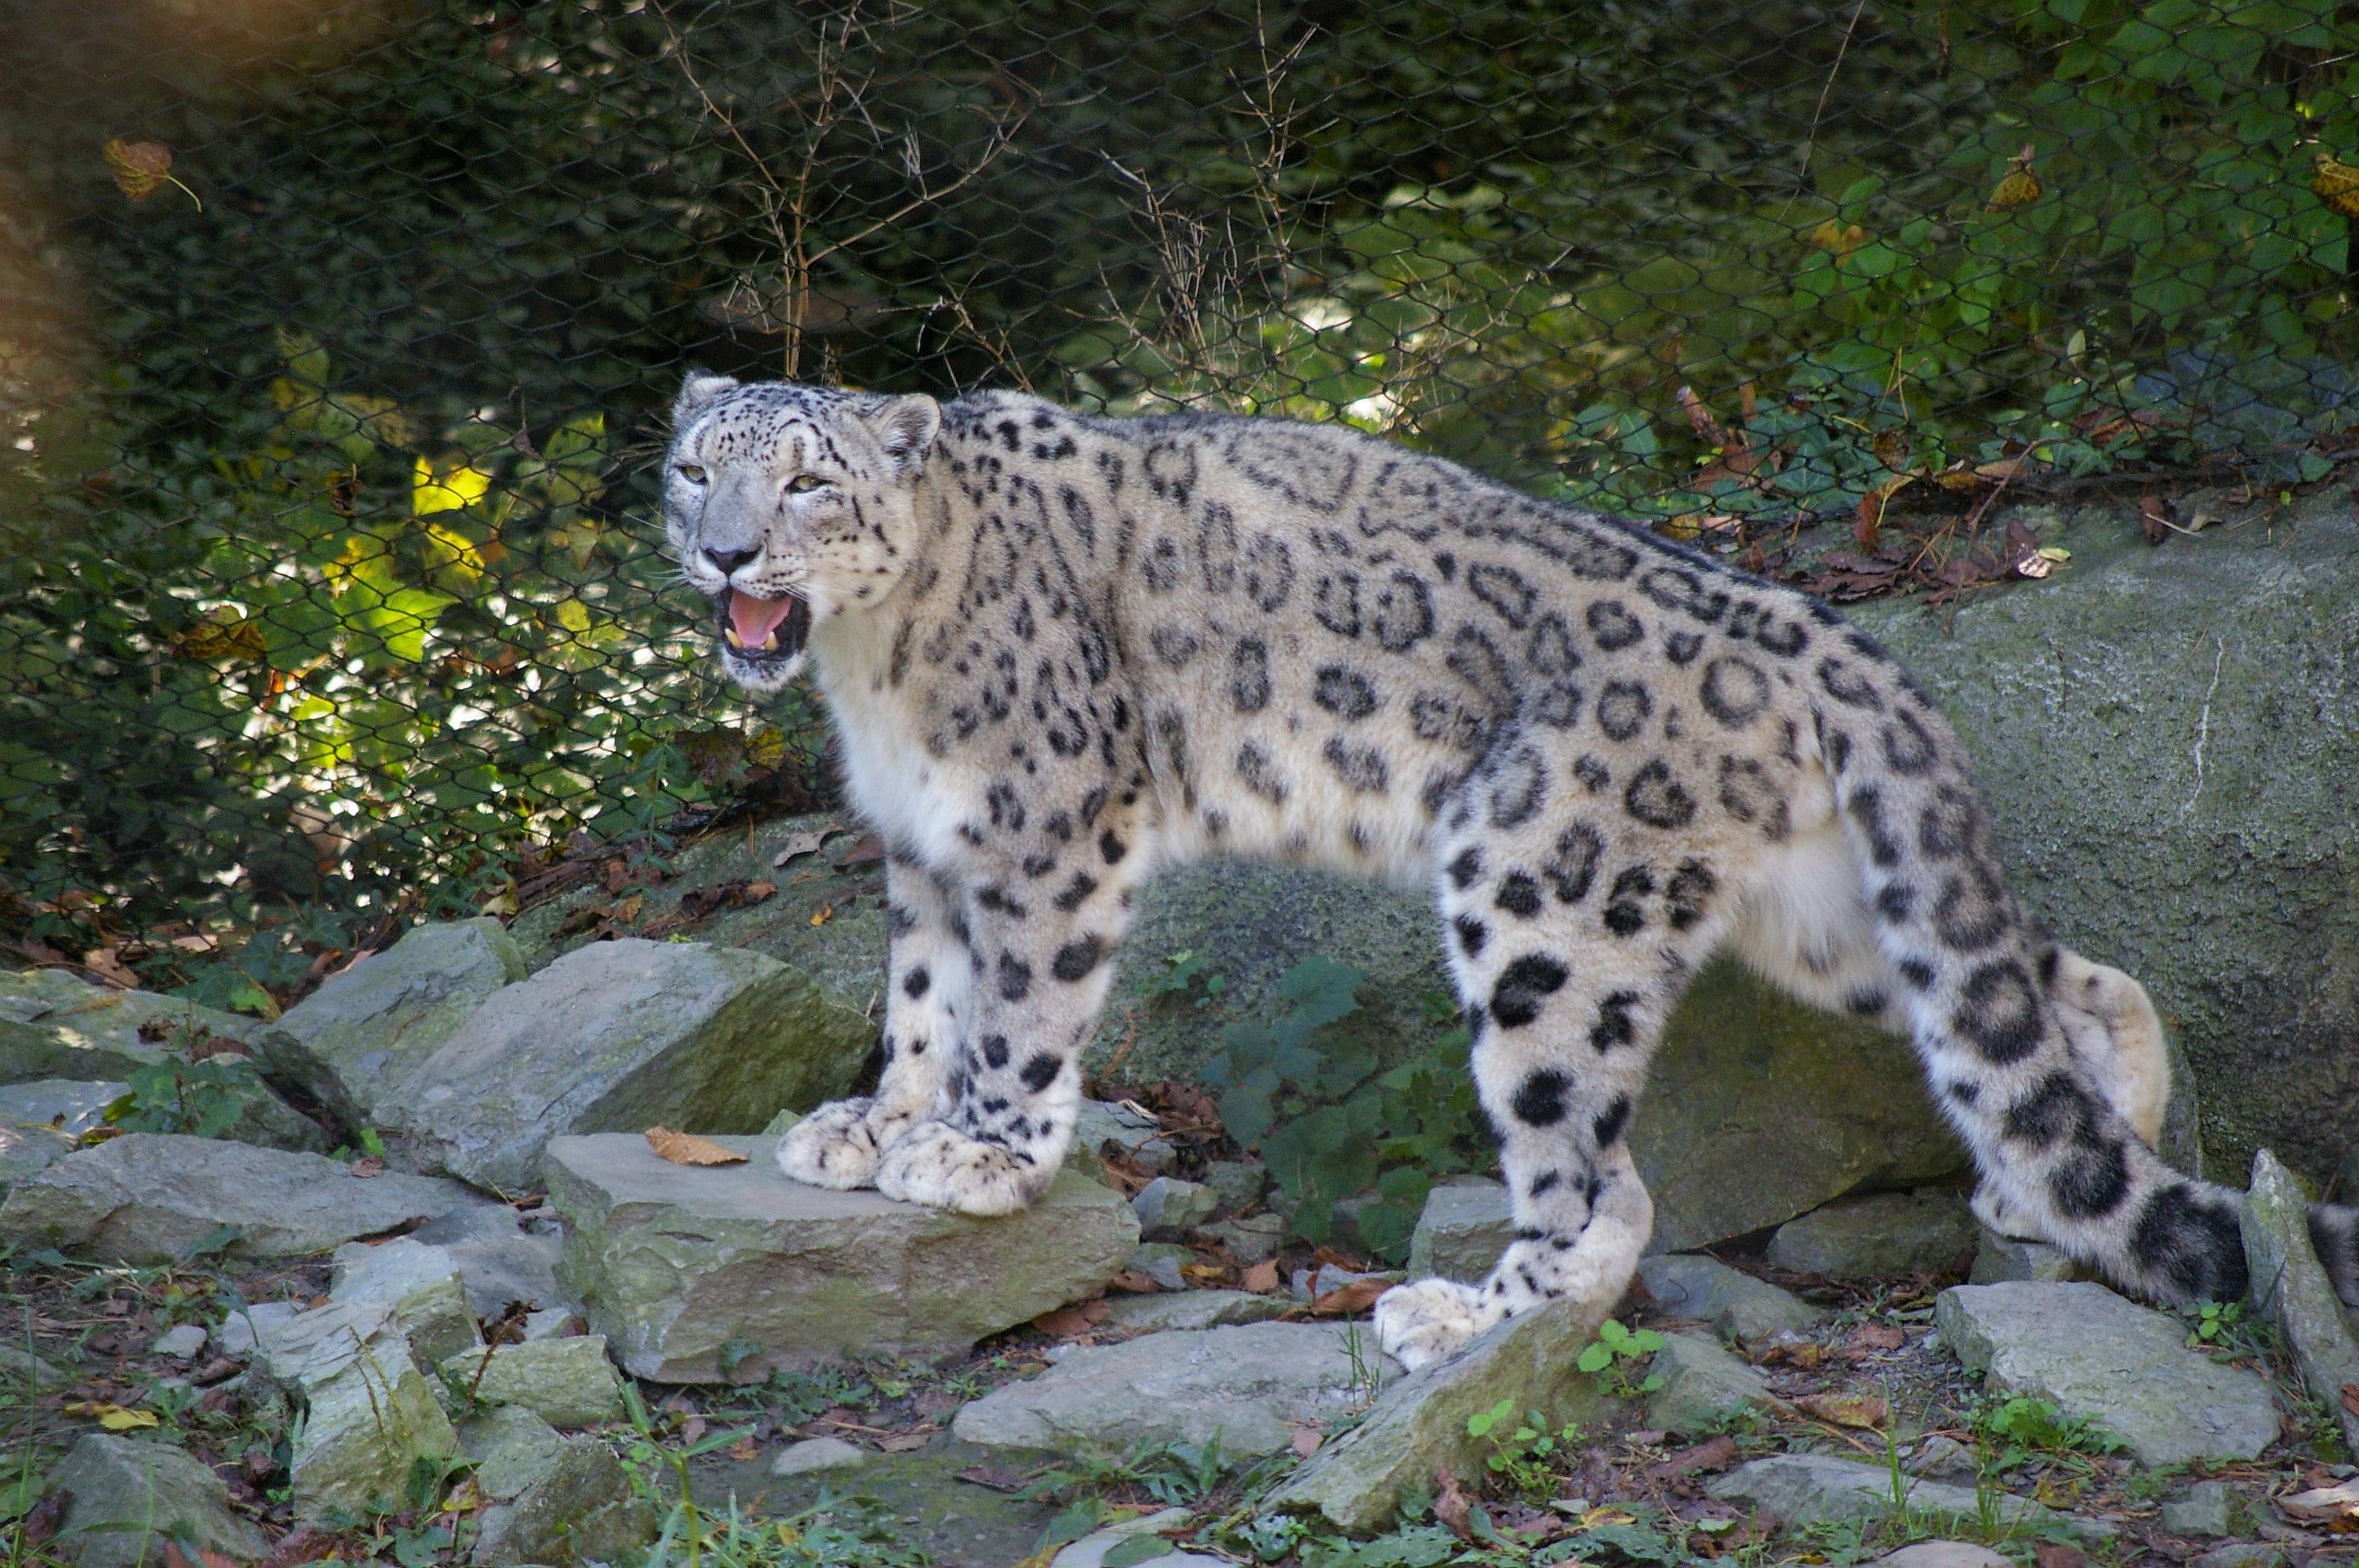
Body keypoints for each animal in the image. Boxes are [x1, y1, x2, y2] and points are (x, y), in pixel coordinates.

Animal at [665, 370, 2359, 1367]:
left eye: (808, 482)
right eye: (694, 467)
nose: (724, 551)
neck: (868, 669)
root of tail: (1818, 635)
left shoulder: (1045, 819)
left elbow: (1015, 1007)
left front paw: (981, 1153)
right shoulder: (922, 844)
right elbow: (919, 997)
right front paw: (871, 1123)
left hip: (1543, 892)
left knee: (1592, 1175)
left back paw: (1455, 1311)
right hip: (1822, 912)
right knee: (2030, 987)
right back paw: (2050, 1166)